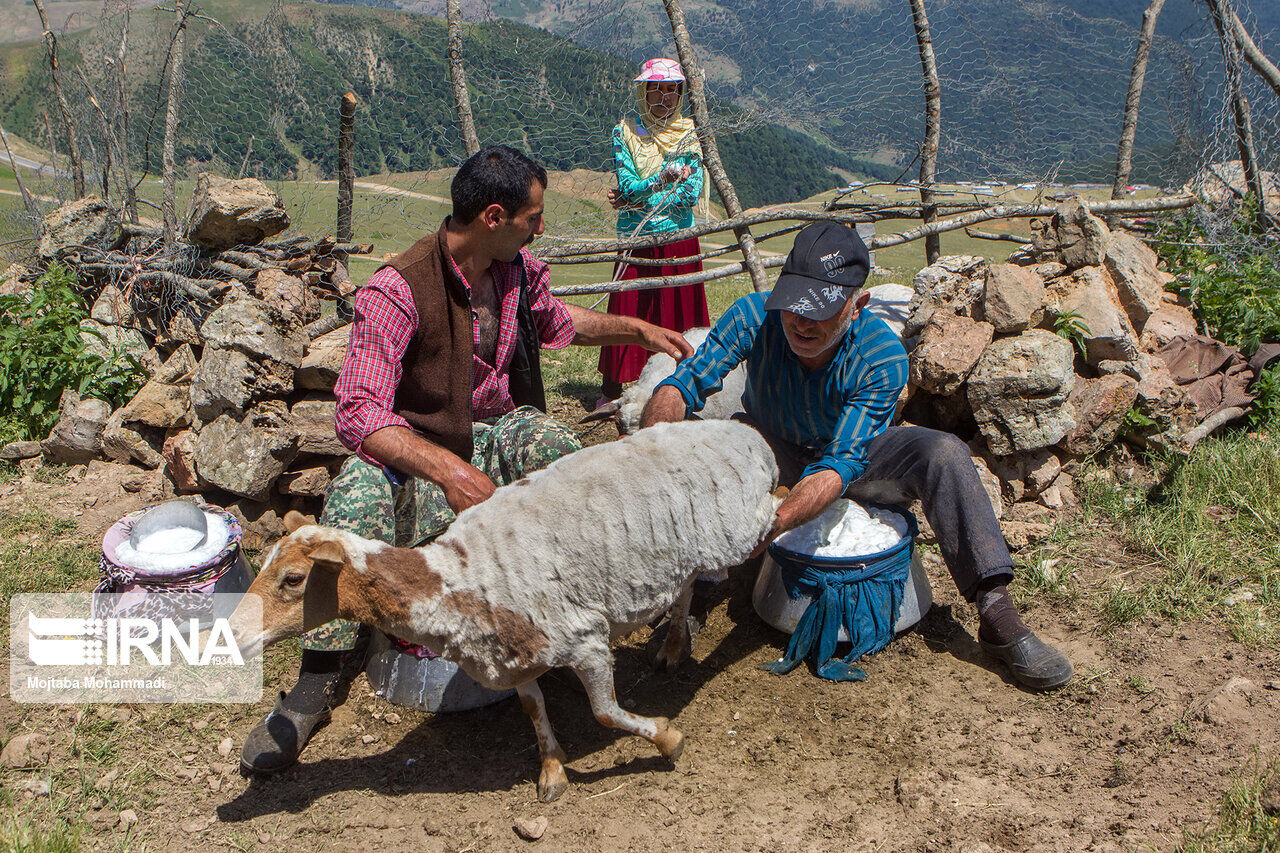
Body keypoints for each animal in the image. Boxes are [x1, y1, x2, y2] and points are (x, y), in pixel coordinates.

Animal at [235, 422, 783, 799]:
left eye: (293, 580)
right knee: (686, 584)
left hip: (741, 523)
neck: (458, 578)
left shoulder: (585, 640)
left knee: (776, 510)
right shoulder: (515, 654)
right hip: (686, 550)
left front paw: (668, 739)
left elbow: (606, 714)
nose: (232, 634)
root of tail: (742, 434)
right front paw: (552, 769)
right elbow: (532, 709)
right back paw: (672, 644)